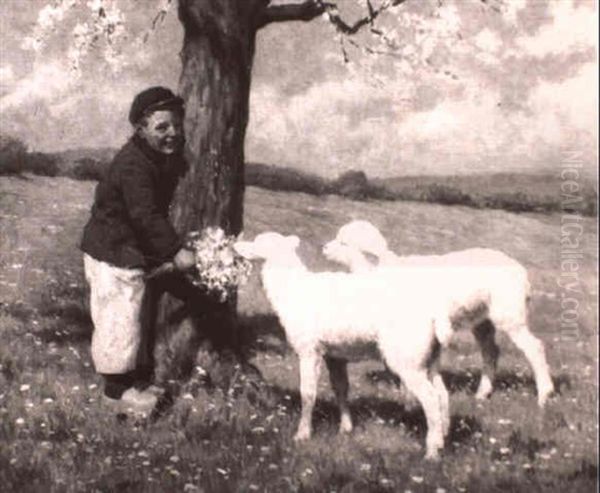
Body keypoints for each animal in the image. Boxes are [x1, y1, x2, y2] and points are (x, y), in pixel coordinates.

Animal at [236, 233, 454, 460]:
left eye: (258, 242)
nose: (236, 245)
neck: (292, 289)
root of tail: (436, 315)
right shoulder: (335, 356)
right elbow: (340, 388)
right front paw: (346, 428)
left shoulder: (309, 350)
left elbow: (307, 393)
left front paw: (303, 434)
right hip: (429, 356)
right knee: (442, 393)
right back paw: (442, 438)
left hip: (407, 357)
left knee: (430, 398)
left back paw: (431, 452)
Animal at [326, 220, 556, 408]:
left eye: (343, 242)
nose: (324, 248)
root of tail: (520, 270)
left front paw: (409, 399)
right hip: (482, 319)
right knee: (491, 352)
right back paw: (482, 394)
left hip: (510, 313)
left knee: (534, 348)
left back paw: (544, 395)